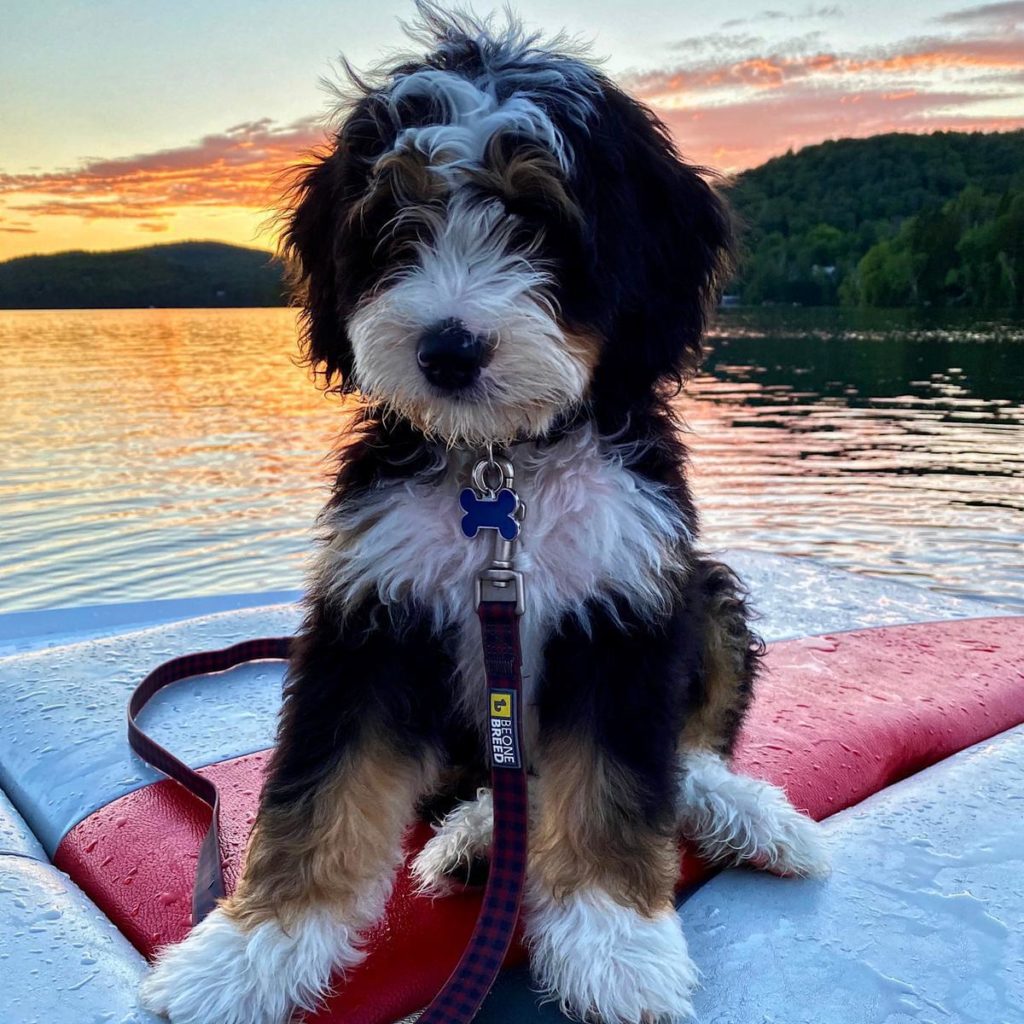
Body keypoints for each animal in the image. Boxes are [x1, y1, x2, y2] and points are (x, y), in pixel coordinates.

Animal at [140, 8, 827, 1024]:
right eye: (397, 223)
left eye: (535, 220)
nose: (449, 351)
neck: (503, 464)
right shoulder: (369, 615)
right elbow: (319, 790)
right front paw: (244, 954)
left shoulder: (625, 606)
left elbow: (619, 783)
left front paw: (616, 948)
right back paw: (473, 837)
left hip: (701, 592)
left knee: (684, 751)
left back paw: (743, 814)